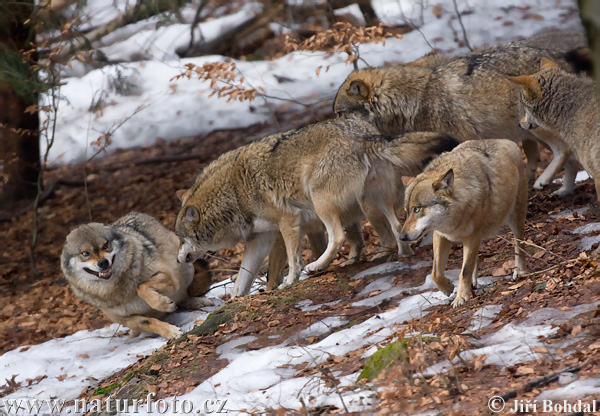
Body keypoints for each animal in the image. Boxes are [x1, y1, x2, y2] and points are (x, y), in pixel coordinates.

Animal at [61, 211, 213, 338]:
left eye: (106, 245)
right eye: (85, 253)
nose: (103, 262)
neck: (116, 288)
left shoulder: (166, 276)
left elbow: (141, 287)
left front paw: (163, 304)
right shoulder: (127, 319)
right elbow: (149, 322)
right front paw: (170, 332)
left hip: (185, 265)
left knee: (184, 295)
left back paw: (199, 302)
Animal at [177, 118, 460, 298]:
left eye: (181, 237)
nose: (179, 260)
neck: (233, 194)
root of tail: (363, 134)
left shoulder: (288, 222)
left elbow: (292, 261)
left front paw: (289, 282)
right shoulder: (260, 238)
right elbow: (243, 277)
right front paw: (236, 299)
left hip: (324, 203)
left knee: (338, 236)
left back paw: (318, 266)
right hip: (374, 200)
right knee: (396, 225)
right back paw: (403, 254)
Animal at [400, 141, 528, 308]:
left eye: (417, 209)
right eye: (407, 211)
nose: (402, 237)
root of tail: (506, 141)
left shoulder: (472, 237)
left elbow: (464, 270)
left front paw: (460, 297)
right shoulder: (441, 235)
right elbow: (435, 273)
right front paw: (448, 288)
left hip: (514, 219)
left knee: (519, 245)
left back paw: (520, 272)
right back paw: (473, 283)